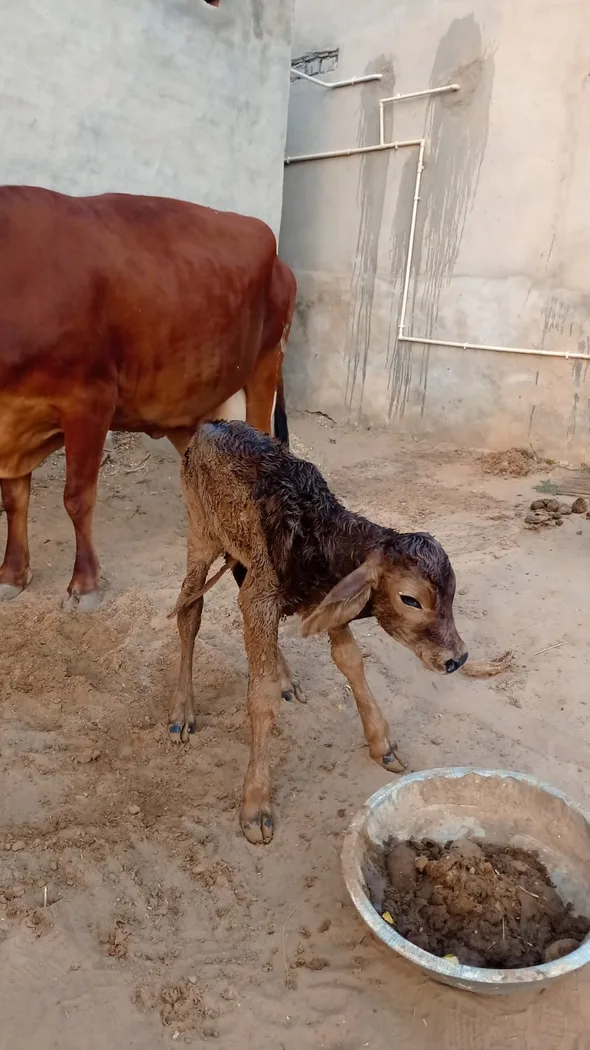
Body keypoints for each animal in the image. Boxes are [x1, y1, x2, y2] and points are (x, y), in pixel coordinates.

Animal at [0, 186, 296, 609]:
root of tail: (280, 260)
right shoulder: (14, 418)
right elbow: (14, 498)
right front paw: (11, 575)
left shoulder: (90, 400)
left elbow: (76, 497)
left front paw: (85, 585)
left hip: (264, 368)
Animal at [170, 420, 468, 845]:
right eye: (411, 599)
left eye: (452, 592)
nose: (457, 658)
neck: (314, 534)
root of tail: (211, 425)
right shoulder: (262, 597)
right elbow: (260, 697)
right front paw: (256, 804)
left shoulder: (324, 599)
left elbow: (351, 662)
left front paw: (382, 744)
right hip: (201, 533)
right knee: (189, 610)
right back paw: (182, 711)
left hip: (242, 558)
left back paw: (286, 678)